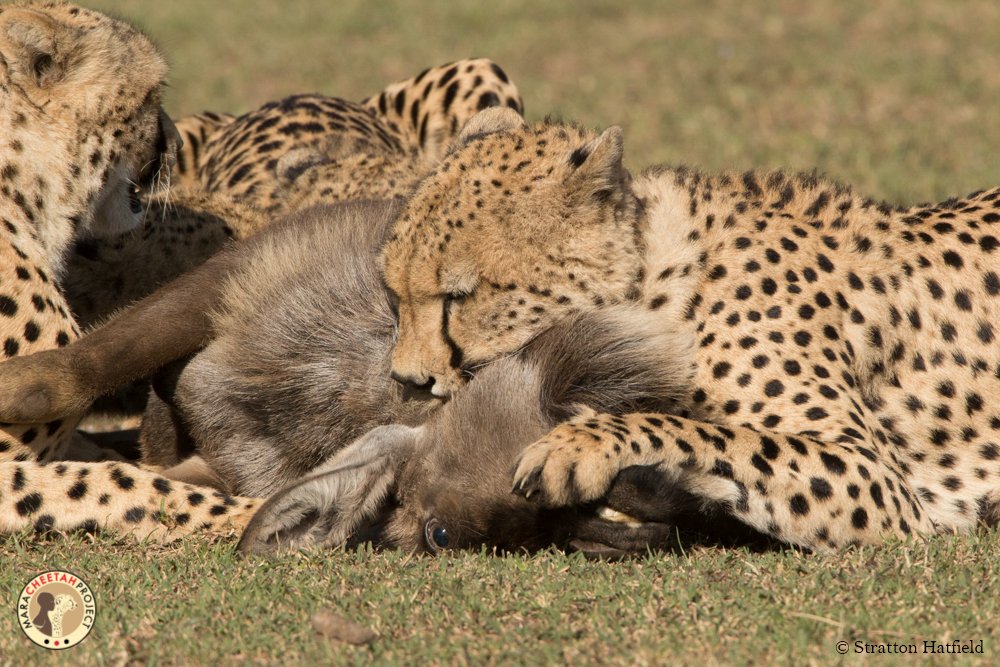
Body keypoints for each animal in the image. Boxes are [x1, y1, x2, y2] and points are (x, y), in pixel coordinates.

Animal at [381, 106, 1000, 552]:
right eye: (394, 293)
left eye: (460, 296)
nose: (406, 381)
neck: (658, 281)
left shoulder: (878, 481)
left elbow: (708, 432)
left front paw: (579, 444)